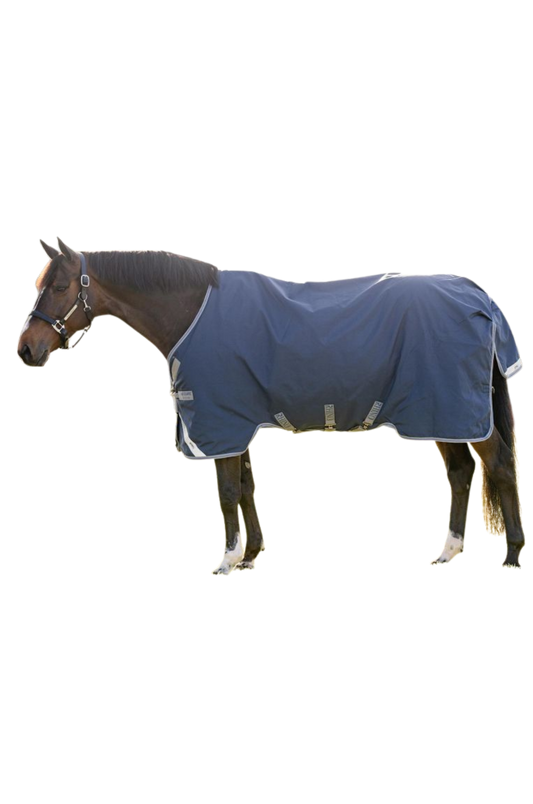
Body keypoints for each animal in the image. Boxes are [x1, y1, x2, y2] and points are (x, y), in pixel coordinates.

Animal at [15, 235, 527, 576]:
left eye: (58, 287)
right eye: (39, 283)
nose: (26, 351)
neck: (192, 311)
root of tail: (479, 297)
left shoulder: (221, 420)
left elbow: (226, 490)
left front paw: (226, 561)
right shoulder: (237, 420)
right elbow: (244, 485)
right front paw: (251, 555)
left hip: (456, 410)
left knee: (499, 466)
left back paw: (513, 554)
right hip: (441, 413)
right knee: (459, 472)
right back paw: (448, 551)